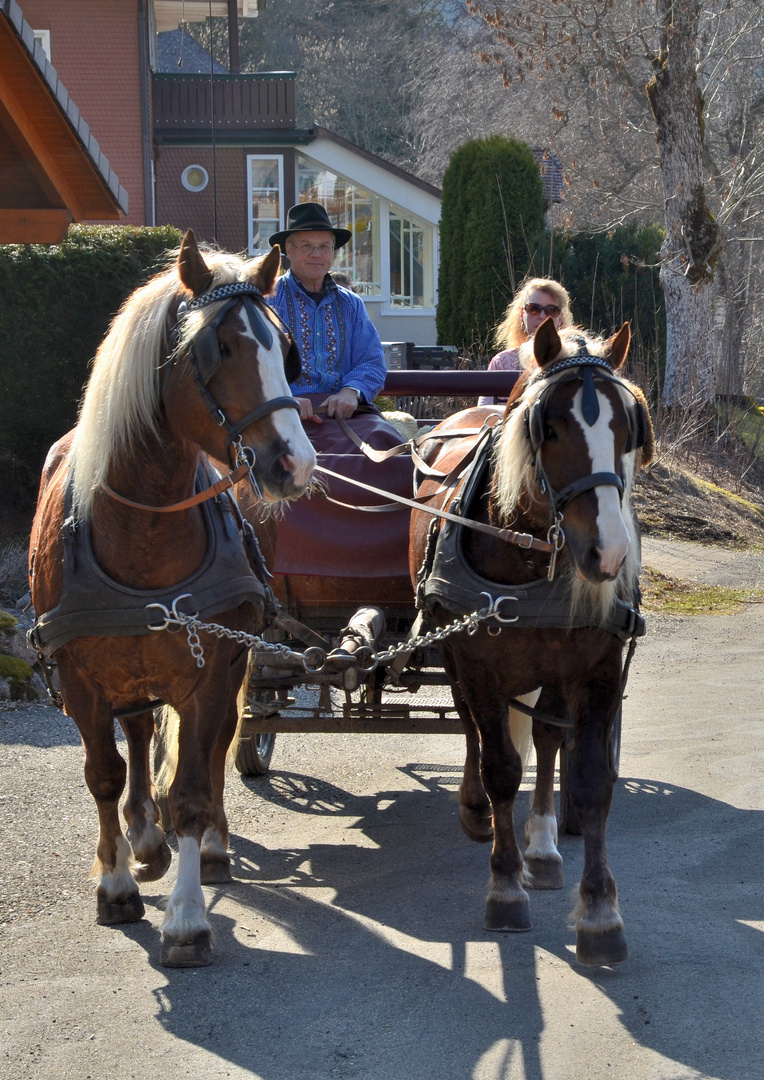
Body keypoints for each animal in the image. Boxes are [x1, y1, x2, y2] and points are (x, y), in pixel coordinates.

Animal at [29, 232, 317, 967]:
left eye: (285, 350)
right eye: (220, 349)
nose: (295, 464)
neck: (143, 529)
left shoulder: (212, 668)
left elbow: (191, 784)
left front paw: (187, 918)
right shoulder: (80, 678)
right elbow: (103, 775)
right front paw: (115, 884)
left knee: (211, 750)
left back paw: (207, 847)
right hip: (128, 670)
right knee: (135, 731)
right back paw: (143, 837)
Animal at [408, 319, 652, 972]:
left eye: (629, 428)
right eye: (551, 428)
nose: (608, 554)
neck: (528, 552)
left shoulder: (596, 672)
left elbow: (590, 781)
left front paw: (600, 914)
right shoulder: (477, 664)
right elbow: (499, 768)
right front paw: (504, 887)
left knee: (546, 737)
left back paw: (541, 849)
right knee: (473, 727)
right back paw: (479, 815)